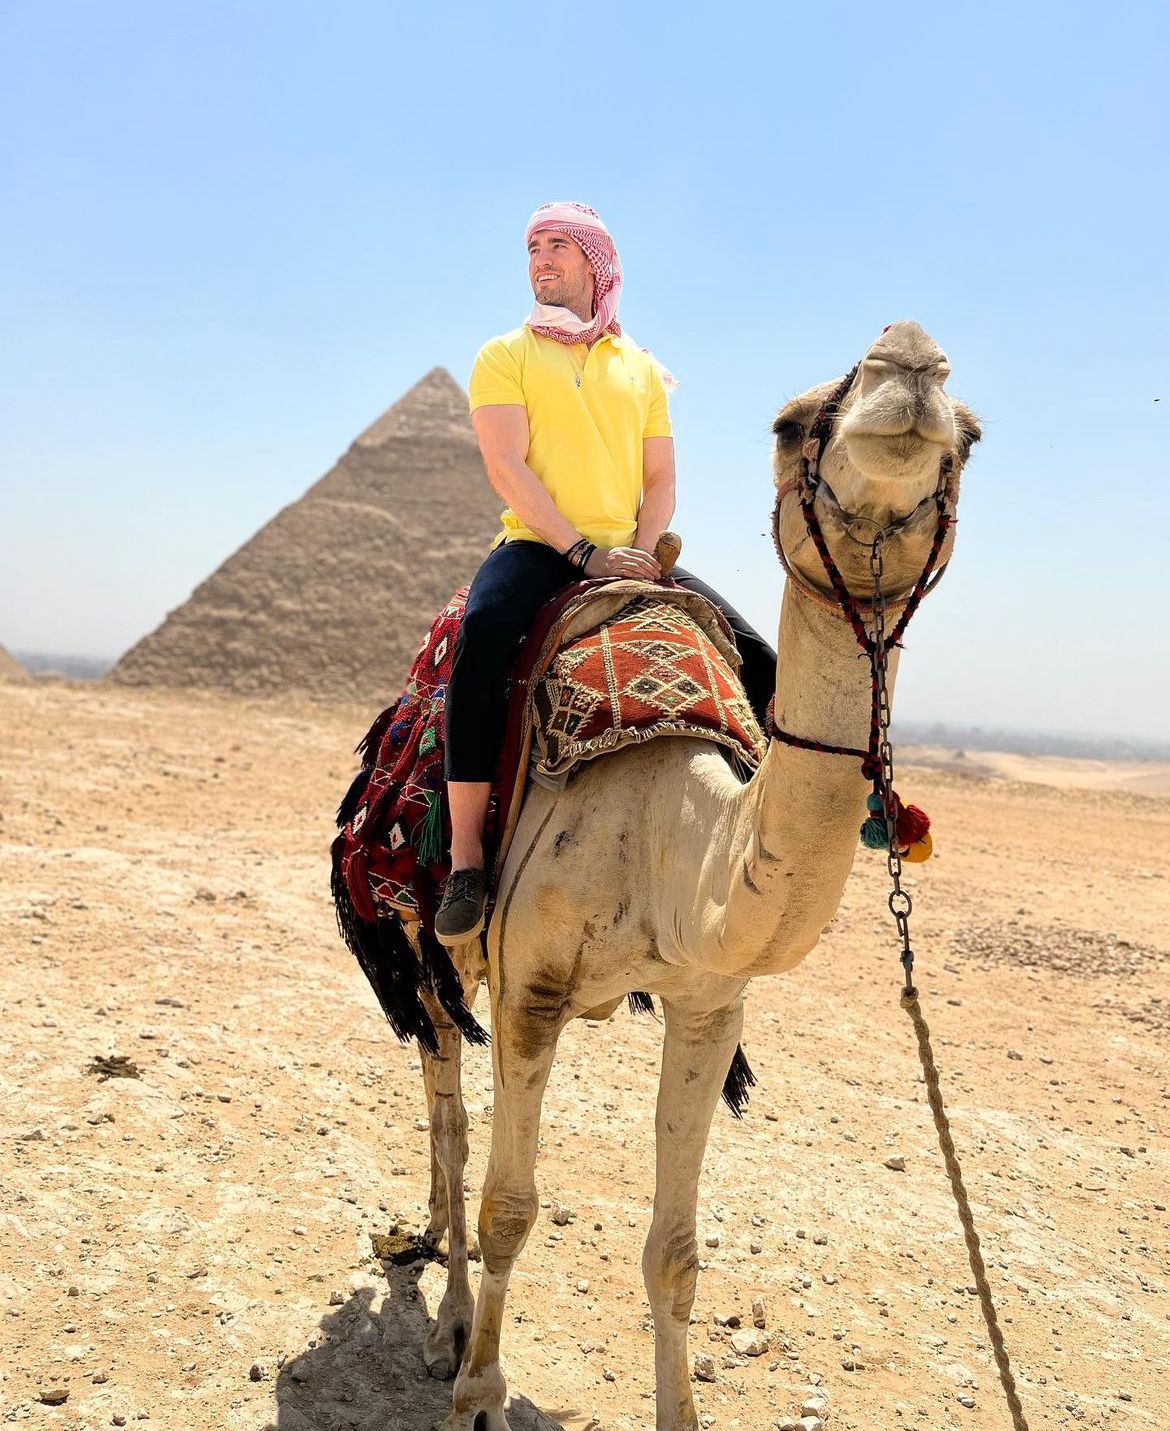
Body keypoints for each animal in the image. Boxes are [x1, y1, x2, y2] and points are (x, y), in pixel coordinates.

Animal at [410, 320, 981, 1430]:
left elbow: (674, 1256)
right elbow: (510, 1211)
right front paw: (479, 1392)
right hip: (431, 943)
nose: (910, 359)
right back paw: (450, 1317)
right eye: (789, 423)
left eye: (970, 435)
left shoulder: (710, 1002)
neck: (670, 834)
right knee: (447, 1110)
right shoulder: (531, 988)